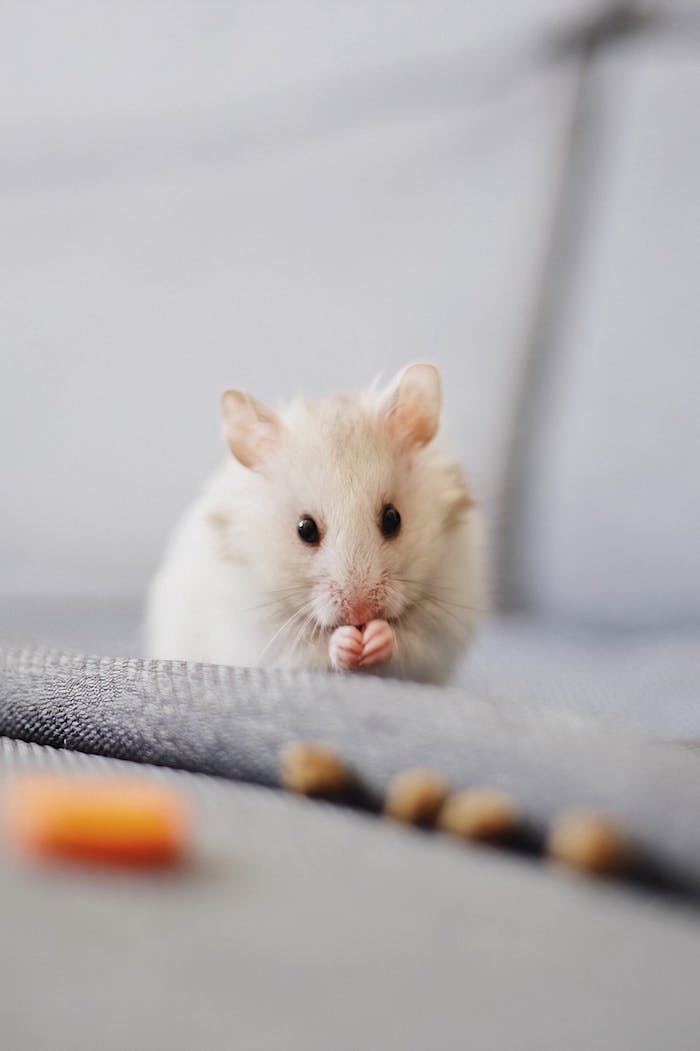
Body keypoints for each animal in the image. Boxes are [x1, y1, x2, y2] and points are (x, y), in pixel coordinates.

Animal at [146, 363, 483, 685]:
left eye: (393, 518)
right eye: (305, 529)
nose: (360, 612)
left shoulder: (443, 620)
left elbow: (408, 642)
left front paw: (376, 637)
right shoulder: (264, 630)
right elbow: (314, 648)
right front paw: (346, 642)